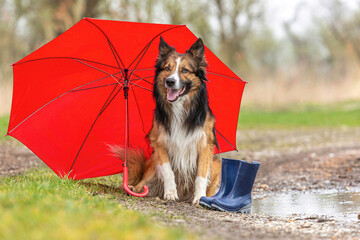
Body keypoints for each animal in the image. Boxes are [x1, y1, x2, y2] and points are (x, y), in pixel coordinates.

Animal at [112, 36, 219, 204]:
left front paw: (199, 197)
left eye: (185, 70)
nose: (170, 81)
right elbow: (168, 170)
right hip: (152, 163)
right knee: (143, 181)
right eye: (167, 68)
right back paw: (134, 189)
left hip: (216, 165)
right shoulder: (159, 142)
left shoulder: (205, 144)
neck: (180, 107)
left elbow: (201, 175)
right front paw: (170, 193)